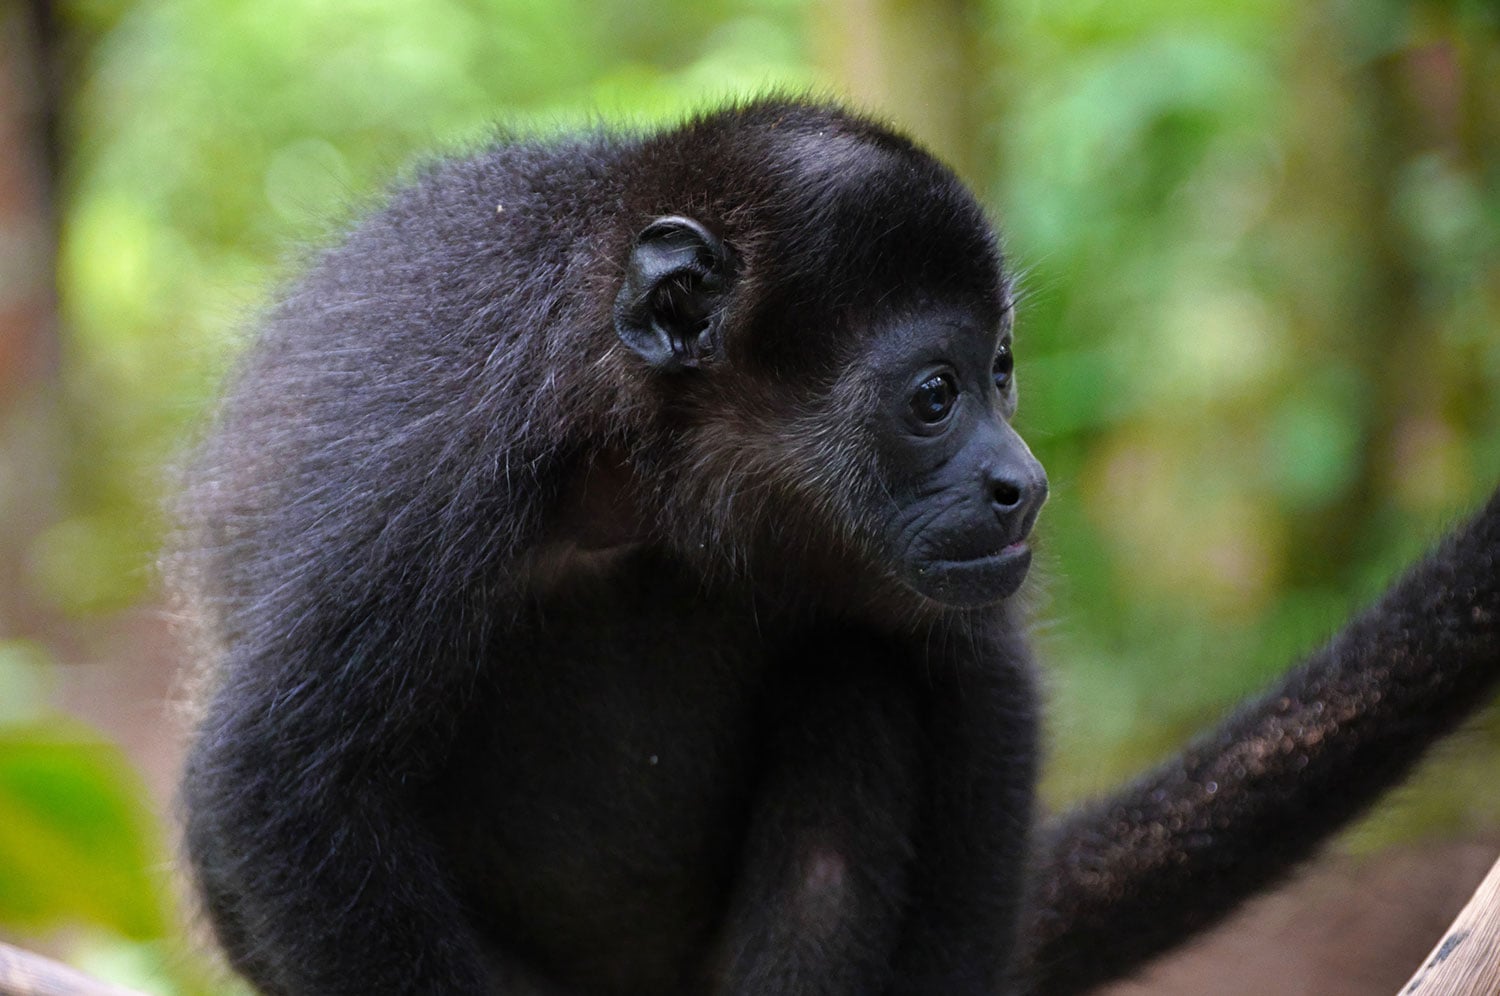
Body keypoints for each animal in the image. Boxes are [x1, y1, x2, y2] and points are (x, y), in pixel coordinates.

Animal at [174, 97, 1500, 996]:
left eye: (1002, 372)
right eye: (933, 396)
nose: (1024, 482)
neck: (642, 466)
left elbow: (979, 692)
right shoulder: (440, 464)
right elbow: (275, 784)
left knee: (853, 679)